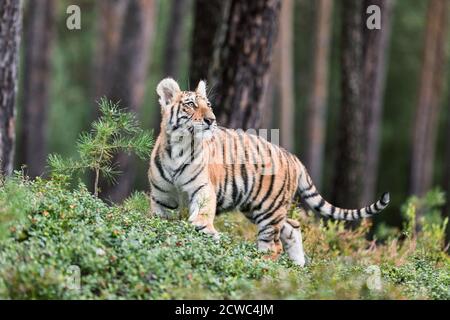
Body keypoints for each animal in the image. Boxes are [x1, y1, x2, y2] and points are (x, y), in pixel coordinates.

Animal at [149, 78, 388, 268]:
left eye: (208, 105)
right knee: (293, 226)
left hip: (268, 210)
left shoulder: (203, 188)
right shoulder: (161, 197)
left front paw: (205, 230)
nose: (211, 120)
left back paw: (259, 264)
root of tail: (292, 156)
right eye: (190, 104)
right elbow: (157, 218)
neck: (179, 148)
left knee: (273, 246)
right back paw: (298, 266)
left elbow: (204, 212)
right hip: (258, 206)